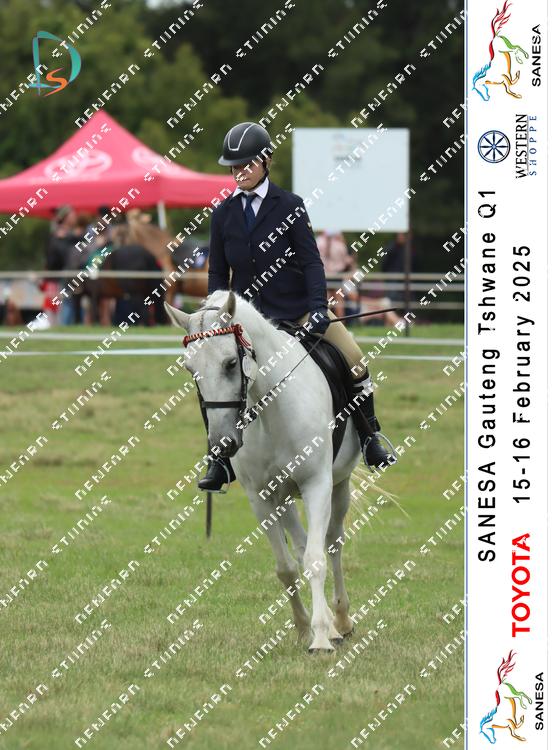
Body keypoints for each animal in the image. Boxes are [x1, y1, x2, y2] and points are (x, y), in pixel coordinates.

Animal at [165, 290, 364, 652]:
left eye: (231, 363)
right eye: (190, 369)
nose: (223, 444)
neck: (271, 408)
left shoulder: (317, 484)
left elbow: (317, 559)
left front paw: (320, 640)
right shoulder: (261, 496)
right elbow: (286, 567)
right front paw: (305, 629)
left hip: (339, 485)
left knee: (332, 544)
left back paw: (340, 621)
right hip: (284, 497)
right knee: (300, 545)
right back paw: (330, 622)